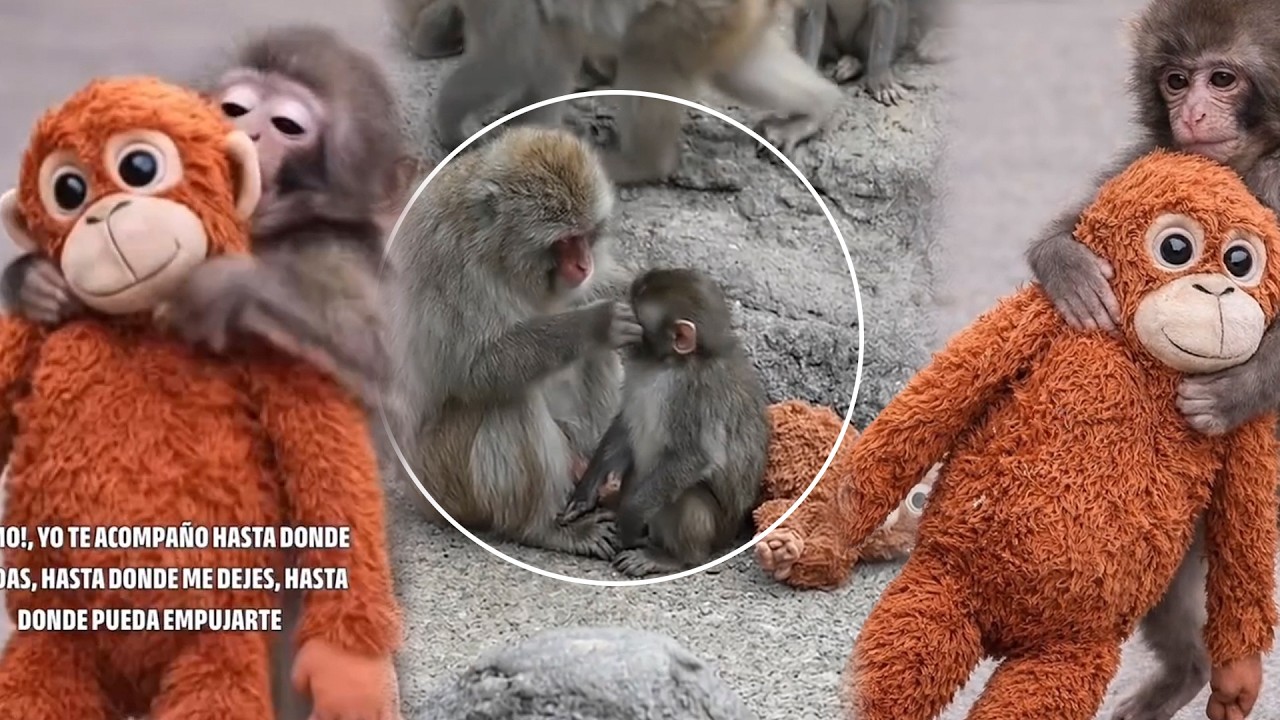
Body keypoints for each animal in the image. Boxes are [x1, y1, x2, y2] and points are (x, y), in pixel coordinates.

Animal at [0, 24, 423, 407]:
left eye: (288, 126)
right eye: (235, 108)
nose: (249, 131)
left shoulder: (336, 246)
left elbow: (380, 361)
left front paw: (226, 286)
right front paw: (33, 278)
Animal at [383, 126, 641, 558]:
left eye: (586, 236)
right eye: (564, 242)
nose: (583, 264)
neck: (498, 252)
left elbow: (590, 294)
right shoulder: (452, 264)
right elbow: (475, 369)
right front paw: (598, 323)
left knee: (591, 362)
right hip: (446, 483)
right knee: (509, 399)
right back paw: (544, 529)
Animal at [433, 0, 843, 185]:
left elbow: (511, 62)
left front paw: (453, 127)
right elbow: (550, 60)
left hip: (688, 17)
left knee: (645, 59)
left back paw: (639, 163)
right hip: (727, 20)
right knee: (741, 69)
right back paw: (818, 107)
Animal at [559, 268, 770, 577]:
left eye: (635, 312)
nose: (617, 314)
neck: (669, 363)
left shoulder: (693, 394)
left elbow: (695, 455)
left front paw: (629, 519)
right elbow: (625, 426)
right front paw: (586, 492)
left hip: (714, 529)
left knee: (686, 495)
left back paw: (671, 556)